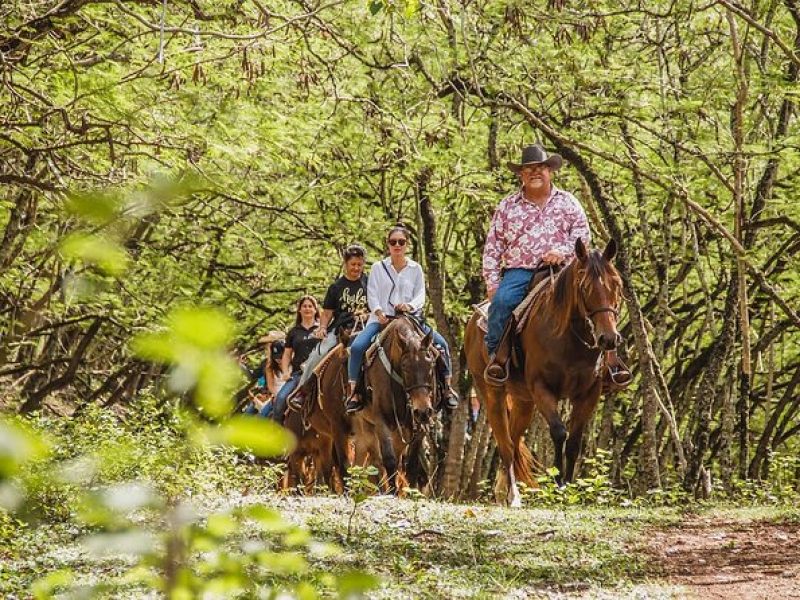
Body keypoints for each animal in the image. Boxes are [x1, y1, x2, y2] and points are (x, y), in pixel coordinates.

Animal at [462, 239, 624, 506]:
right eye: (585, 286)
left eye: (617, 284)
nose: (608, 338)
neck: (569, 339)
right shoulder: (542, 388)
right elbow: (559, 433)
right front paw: (558, 485)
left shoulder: (589, 394)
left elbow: (574, 442)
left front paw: (570, 487)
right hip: (492, 393)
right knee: (505, 444)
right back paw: (512, 496)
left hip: (523, 401)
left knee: (514, 440)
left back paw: (503, 490)